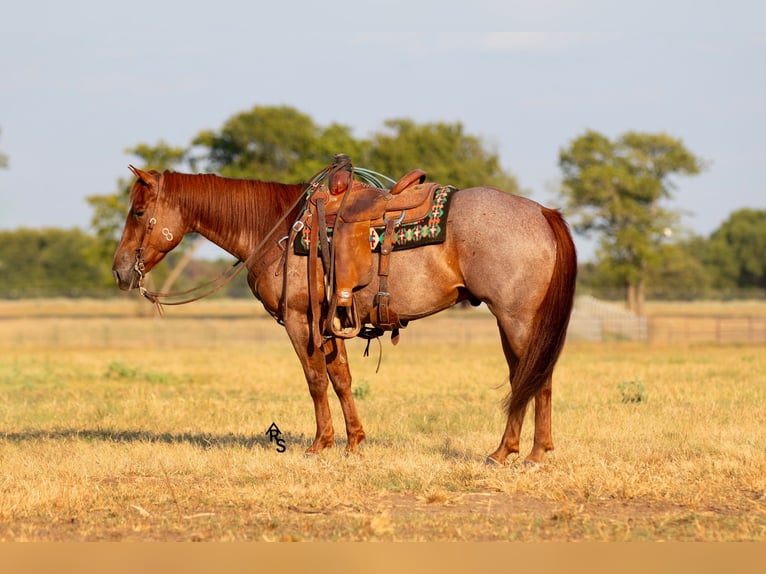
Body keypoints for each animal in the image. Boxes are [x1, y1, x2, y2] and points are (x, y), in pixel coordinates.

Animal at [114, 164, 580, 466]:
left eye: (138, 212)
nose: (119, 271)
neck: (278, 228)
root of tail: (543, 213)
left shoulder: (300, 320)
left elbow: (316, 380)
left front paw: (320, 444)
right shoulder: (330, 321)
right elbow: (341, 379)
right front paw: (354, 442)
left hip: (517, 320)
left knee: (533, 378)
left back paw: (516, 453)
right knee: (532, 378)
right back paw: (530, 451)